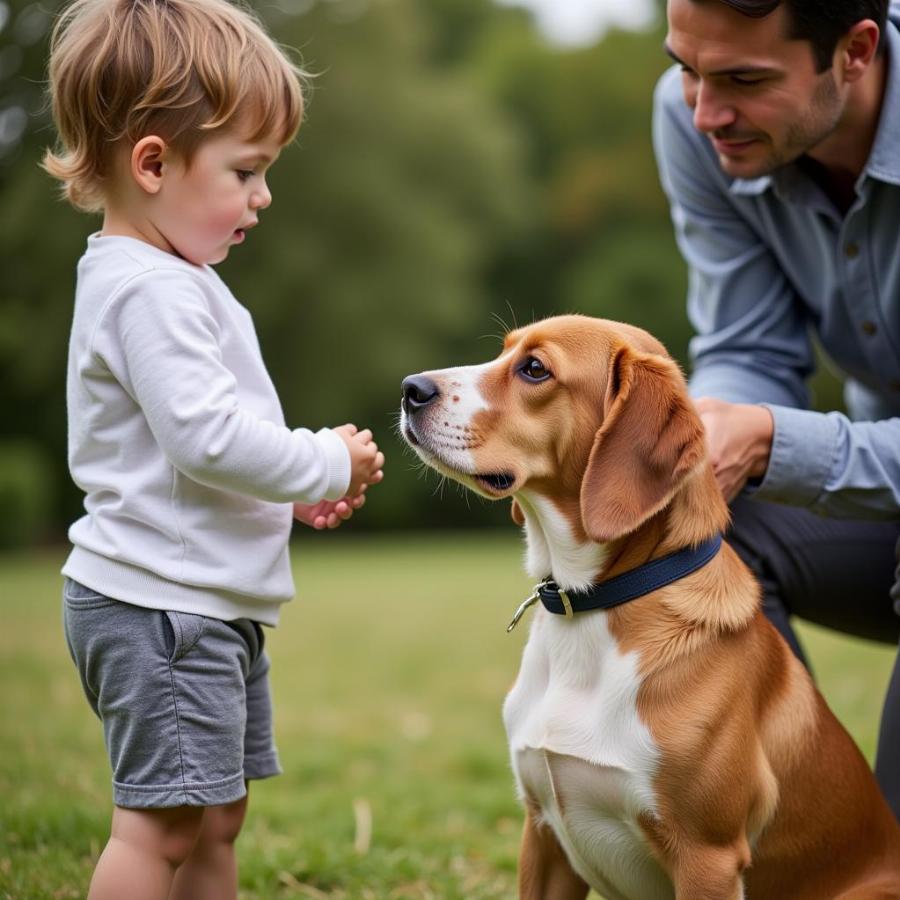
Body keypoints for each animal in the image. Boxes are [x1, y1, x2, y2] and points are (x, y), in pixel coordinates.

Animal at [400, 316, 900, 900]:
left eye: (535, 369)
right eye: (503, 353)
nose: (411, 388)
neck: (588, 608)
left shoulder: (708, 858)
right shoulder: (542, 836)